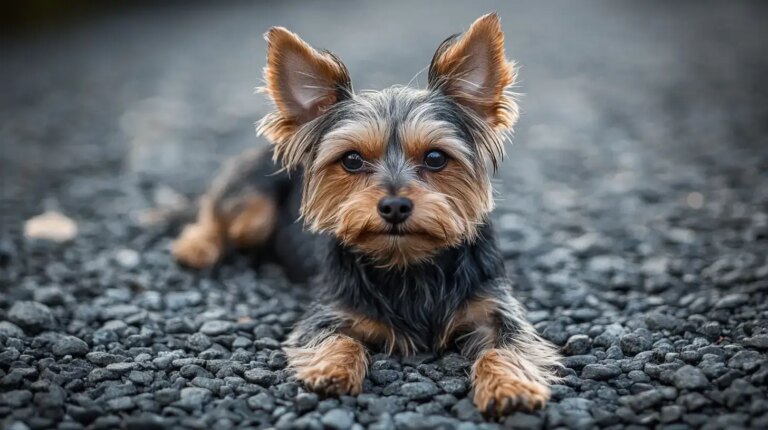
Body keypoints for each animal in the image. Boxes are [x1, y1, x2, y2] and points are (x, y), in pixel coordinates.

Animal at [172, 13, 560, 416]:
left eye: (436, 157)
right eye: (352, 160)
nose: (394, 206)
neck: (407, 263)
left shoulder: (493, 308)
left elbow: (508, 345)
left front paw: (509, 385)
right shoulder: (331, 308)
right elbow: (336, 337)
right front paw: (332, 369)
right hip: (253, 203)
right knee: (214, 213)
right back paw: (196, 247)